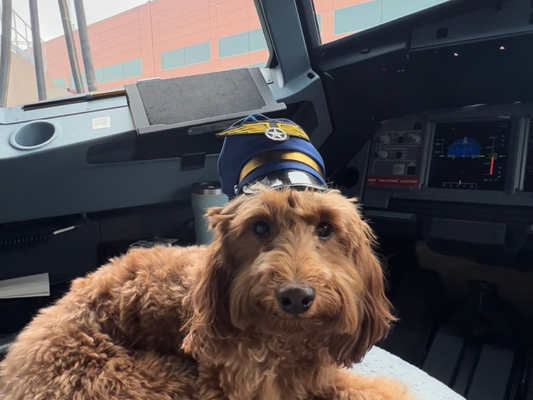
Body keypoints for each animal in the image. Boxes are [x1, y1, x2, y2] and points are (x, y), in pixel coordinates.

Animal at [0, 188, 412, 400]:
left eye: (325, 228)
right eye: (260, 227)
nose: (295, 296)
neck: (285, 341)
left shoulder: (313, 376)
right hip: (146, 380)